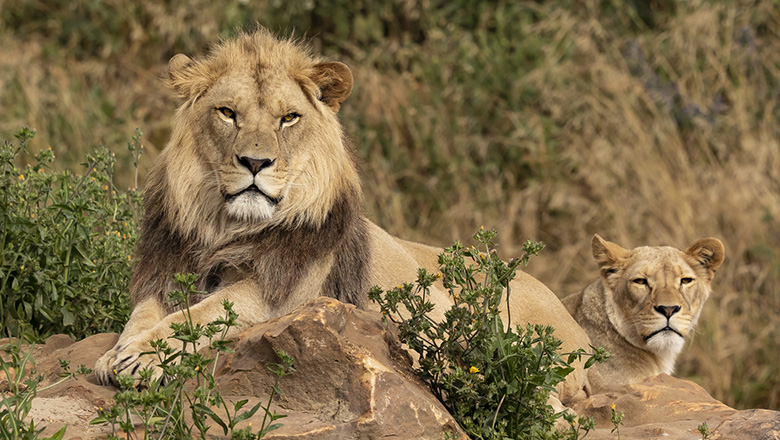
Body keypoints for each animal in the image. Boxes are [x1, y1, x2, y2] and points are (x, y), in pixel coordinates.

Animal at [94, 30, 588, 402]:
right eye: (228, 113)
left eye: (289, 118)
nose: (255, 163)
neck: (227, 227)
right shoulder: (168, 269)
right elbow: (142, 313)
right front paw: (113, 355)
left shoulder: (286, 294)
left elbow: (205, 312)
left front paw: (141, 357)